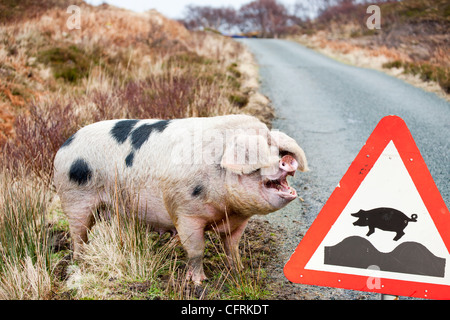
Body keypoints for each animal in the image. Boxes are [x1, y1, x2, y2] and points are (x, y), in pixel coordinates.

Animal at [51, 114, 308, 282]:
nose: (286, 159)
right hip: (75, 200)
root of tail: (65, 144)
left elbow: (232, 247)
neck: (227, 208)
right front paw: (200, 282)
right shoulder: (185, 212)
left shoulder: (238, 221)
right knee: (78, 236)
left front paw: (240, 271)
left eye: (277, 151)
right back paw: (80, 262)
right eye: (261, 156)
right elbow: (196, 250)